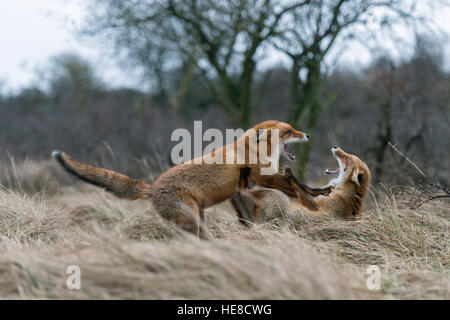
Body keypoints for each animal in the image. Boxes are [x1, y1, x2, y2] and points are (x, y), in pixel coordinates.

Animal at [52, 120, 328, 238]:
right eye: (289, 131)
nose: (307, 134)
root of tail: (152, 187)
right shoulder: (264, 176)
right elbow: (296, 187)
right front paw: (315, 200)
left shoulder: (249, 186)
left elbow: (298, 185)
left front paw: (318, 195)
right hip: (191, 220)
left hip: (198, 218)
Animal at [230, 146, 370, 222]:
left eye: (346, 158)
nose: (335, 146)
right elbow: (307, 188)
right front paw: (321, 189)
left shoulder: (317, 206)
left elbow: (298, 187)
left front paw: (290, 175)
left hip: (276, 197)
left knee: (243, 191)